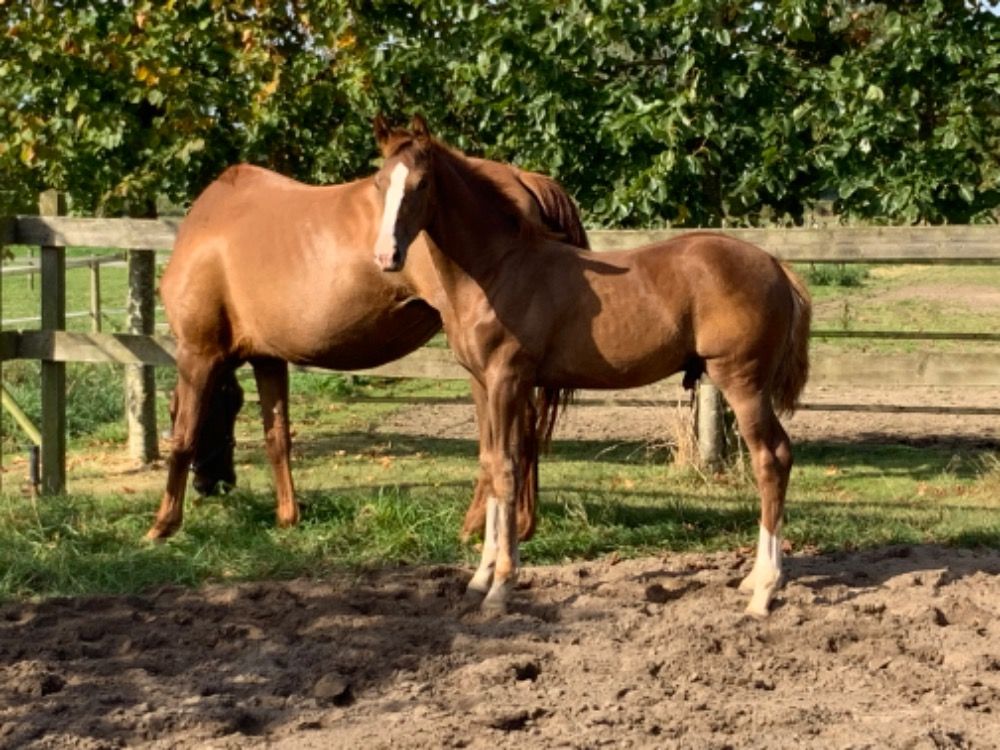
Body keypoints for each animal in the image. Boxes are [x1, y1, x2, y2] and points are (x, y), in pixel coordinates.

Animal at [146, 117, 589, 542]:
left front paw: (163, 525)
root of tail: (523, 179)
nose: (213, 483)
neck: (212, 226)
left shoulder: (198, 353)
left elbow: (183, 438)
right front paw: (287, 517)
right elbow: (278, 437)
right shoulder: (268, 358)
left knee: (512, 432)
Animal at [371, 116, 811, 617]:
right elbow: (490, 464)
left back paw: (764, 591)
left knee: (770, 459)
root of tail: (776, 265)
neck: (499, 269)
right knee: (779, 457)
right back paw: (755, 579)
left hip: (742, 381)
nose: (386, 257)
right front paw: (480, 579)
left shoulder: (507, 379)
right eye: (380, 182)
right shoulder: (481, 384)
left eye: (422, 184)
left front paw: (501, 588)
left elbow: (506, 468)